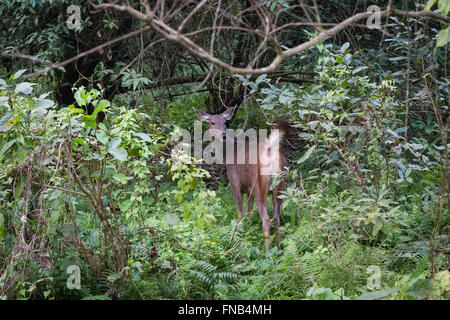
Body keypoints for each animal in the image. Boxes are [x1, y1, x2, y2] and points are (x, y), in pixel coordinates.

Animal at [194, 106, 288, 251]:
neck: (228, 155)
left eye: (225, 122)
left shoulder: (235, 183)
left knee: (266, 218)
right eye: (212, 122)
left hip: (260, 187)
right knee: (276, 217)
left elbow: (240, 213)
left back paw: (267, 252)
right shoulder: (249, 189)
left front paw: (239, 237)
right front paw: (248, 231)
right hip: (280, 187)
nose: (223, 135)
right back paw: (278, 248)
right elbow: (249, 212)